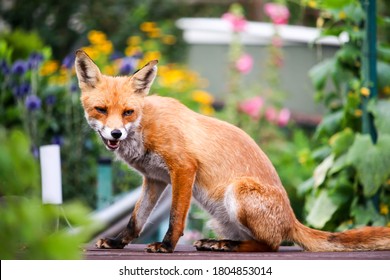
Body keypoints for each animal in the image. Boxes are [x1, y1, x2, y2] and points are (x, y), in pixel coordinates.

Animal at [75, 49, 390, 253]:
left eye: (127, 112)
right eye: (101, 110)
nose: (115, 133)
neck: (146, 124)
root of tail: (291, 220)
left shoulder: (183, 168)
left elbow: (176, 216)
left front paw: (166, 245)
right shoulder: (155, 179)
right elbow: (136, 220)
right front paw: (117, 242)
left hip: (237, 192)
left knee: (272, 245)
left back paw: (227, 245)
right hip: (221, 215)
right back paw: (218, 242)